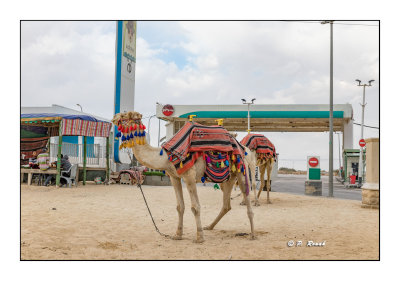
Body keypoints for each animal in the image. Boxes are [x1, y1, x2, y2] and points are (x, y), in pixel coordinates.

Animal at [111, 110, 256, 242]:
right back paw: (209, 226)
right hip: (228, 178)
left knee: (246, 196)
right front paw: (177, 235)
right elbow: (180, 207)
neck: (166, 156)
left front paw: (199, 237)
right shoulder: (174, 177)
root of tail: (242, 147)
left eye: (124, 115)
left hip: (241, 169)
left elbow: (195, 207)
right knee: (226, 205)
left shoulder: (189, 175)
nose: (114, 117)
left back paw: (252, 234)